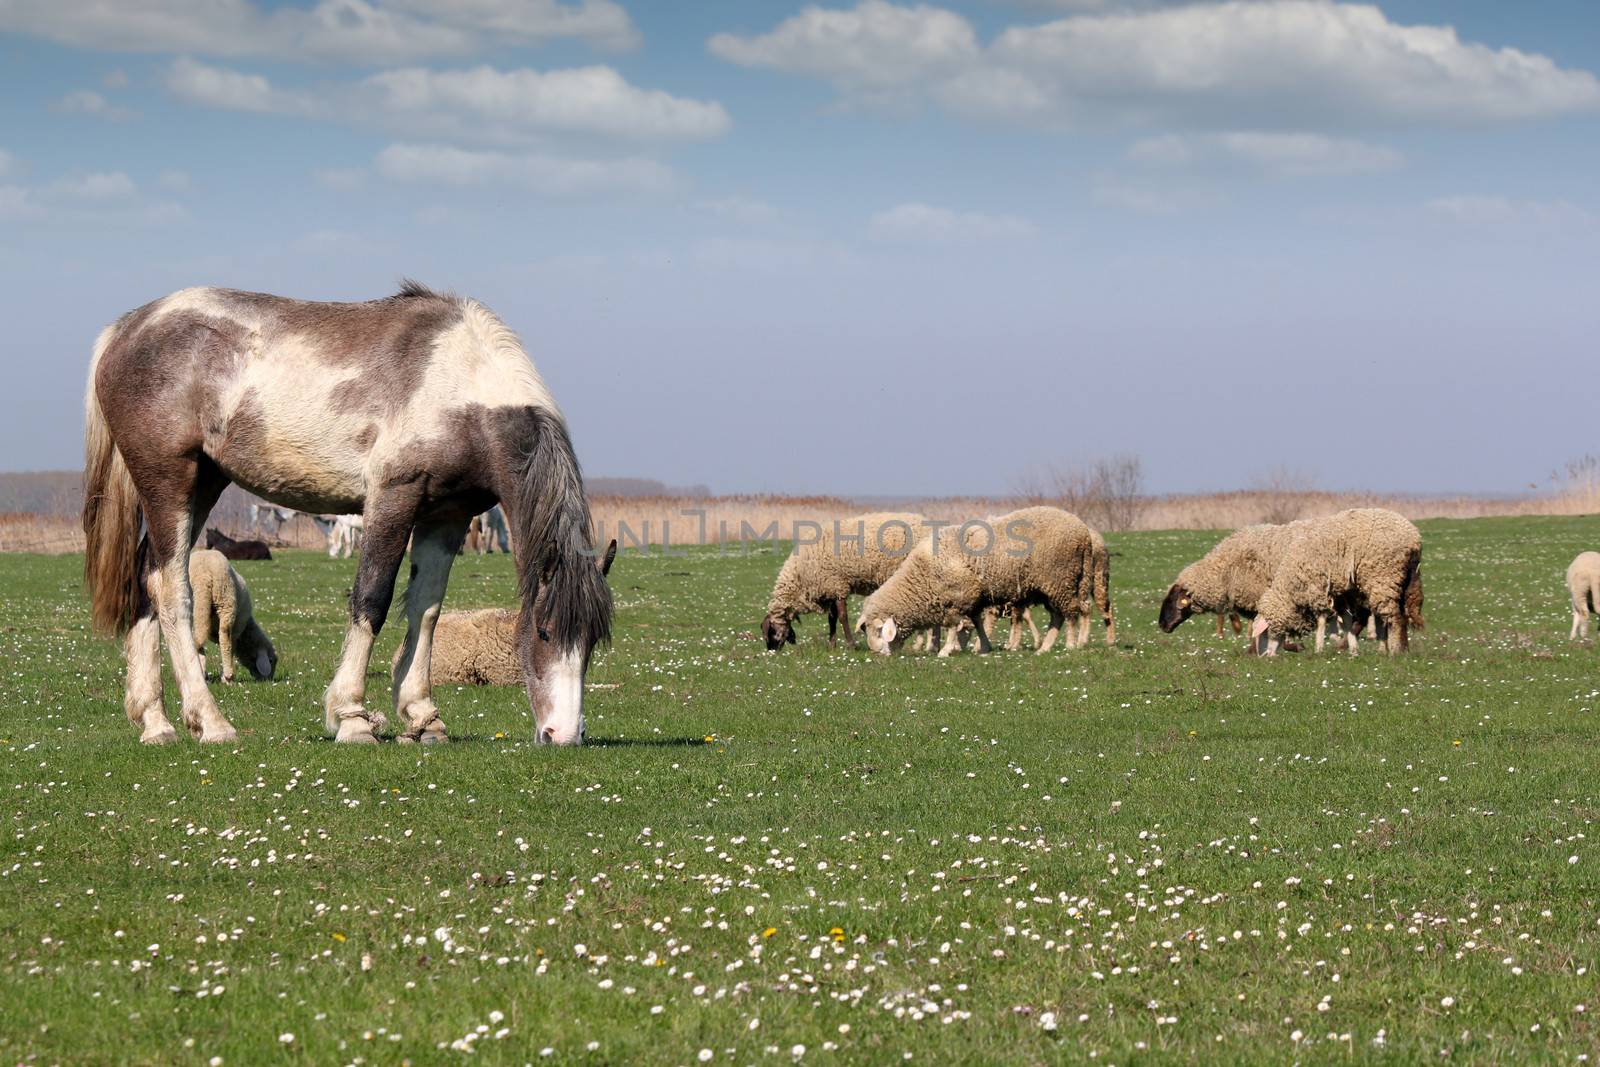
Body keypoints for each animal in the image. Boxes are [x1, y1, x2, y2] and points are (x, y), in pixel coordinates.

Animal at [186, 550, 276, 684]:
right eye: (271, 661)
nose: (268, 680)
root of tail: (203, 575)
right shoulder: (236, 633)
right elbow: (231, 647)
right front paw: (224, 676)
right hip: (226, 601)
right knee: (225, 637)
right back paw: (228, 676)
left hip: (194, 607)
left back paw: (202, 674)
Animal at [764, 511, 934, 652]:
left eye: (771, 631)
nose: (771, 651)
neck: (800, 576)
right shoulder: (831, 589)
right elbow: (832, 619)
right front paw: (832, 645)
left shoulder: (837, 585)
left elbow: (842, 617)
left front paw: (851, 645)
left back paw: (922, 645)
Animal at [864, 505, 1100, 655]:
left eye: (877, 630)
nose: (877, 654)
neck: (920, 578)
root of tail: (1084, 533)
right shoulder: (973, 600)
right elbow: (977, 623)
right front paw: (984, 647)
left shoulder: (958, 598)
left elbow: (954, 625)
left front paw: (946, 650)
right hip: (1052, 585)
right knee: (1059, 616)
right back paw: (1045, 648)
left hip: (1061, 579)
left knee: (1070, 613)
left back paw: (1071, 644)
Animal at [1248, 505, 1427, 655]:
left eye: (1265, 632)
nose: (1264, 656)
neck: (1291, 590)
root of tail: (1414, 537)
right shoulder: (1341, 594)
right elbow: (1346, 621)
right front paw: (1353, 649)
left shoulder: (1317, 588)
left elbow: (1321, 621)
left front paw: (1319, 648)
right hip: (1404, 580)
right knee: (1402, 614)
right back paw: (1402, 649)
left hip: (1383, 577)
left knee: (1395, 617)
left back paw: (1395, 651)